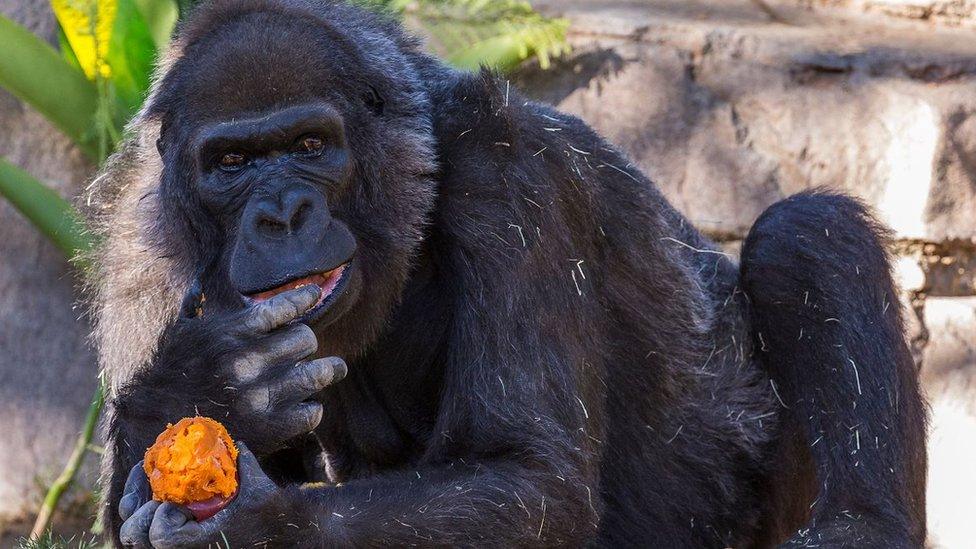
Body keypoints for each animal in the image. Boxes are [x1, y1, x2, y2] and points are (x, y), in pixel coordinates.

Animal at [82, 2, 924, 544]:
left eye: (310, 145)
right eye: (231, 163)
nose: (282, 214)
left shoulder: (514, 165)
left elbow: (529, 479)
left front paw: (264, 521)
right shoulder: (139, 246)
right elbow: (126, 507)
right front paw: (210, 386)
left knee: (803, 237)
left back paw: (859, 528)